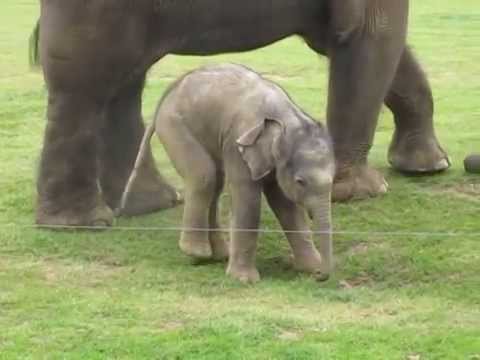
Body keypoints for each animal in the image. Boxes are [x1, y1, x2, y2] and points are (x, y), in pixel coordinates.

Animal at [31, 0, 450, 225]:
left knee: (123, 82)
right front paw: (359, 192)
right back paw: (84, 223)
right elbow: (370, 33)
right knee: (88, 84)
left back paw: (151, 205)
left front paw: (428, 167)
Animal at [120, 64, 334, 284]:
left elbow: (285, 204)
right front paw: (245, 279)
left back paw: (217, 255)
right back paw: (196, 252)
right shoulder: (236, 142)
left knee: (216, 182)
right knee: (203, 175)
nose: (319, 276)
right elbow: (249, 200)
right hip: (174, 124)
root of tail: (168, 93)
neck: (286, 117)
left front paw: (309, 267)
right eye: (300, 181)